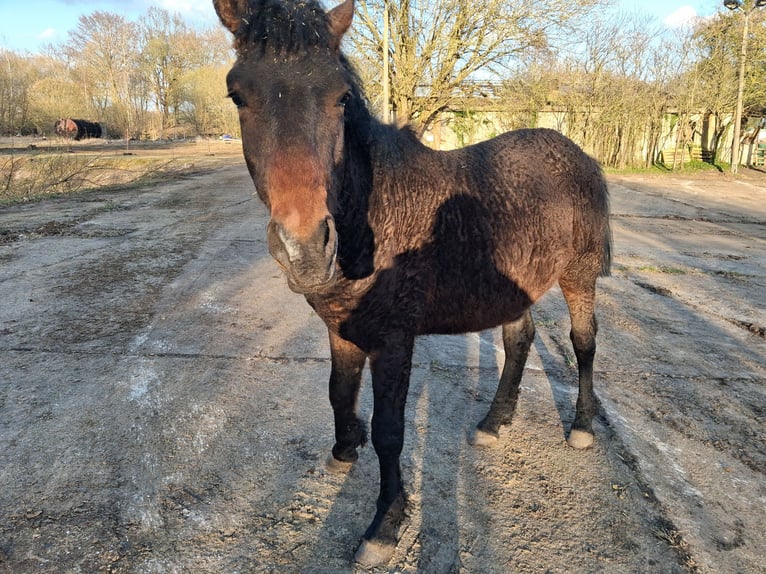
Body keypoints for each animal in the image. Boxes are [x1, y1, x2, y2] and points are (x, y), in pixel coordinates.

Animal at [213, 0, 612, 566]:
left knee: (583, 342)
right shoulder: (341, 329)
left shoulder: (394, 341)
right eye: (238, 94)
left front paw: (384, 524)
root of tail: (577, 153)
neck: (375, 214)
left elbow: (390, 432)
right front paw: (343, 450)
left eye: (340, 98)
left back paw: (580, 428)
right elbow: (338, 392)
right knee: (520, 340)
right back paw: (493, 423)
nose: (305, 248)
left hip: (579, 276)